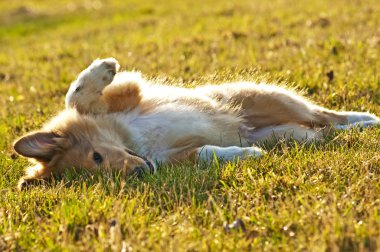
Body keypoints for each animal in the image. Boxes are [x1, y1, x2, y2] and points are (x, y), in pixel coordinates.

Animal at [12, 58, 380, 190]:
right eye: (104, 176)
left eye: (97, 157)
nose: (140, 172)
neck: (136, 144)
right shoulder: (174, 158)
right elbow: (206, 152)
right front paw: (247, 155)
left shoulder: (125, 97)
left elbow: (76, 98)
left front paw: (104, 68)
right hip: (290, 135)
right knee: (325, 130)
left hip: (269, 99)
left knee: (325, 114)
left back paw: (367, 119)